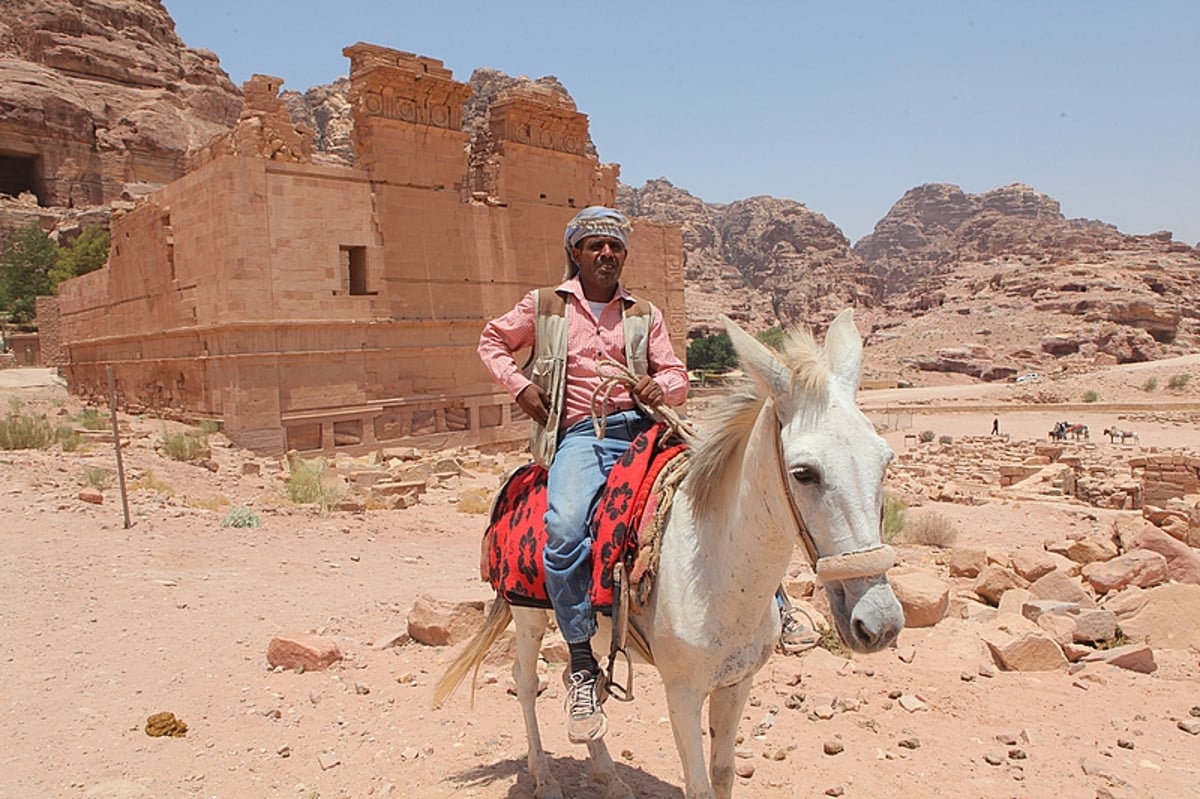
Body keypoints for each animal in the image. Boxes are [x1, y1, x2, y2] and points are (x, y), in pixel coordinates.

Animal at [436, 309, 902, 796]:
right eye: (804, 473)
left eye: (886, 461)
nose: (880, 623)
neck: (718, 571)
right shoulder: (681, 693)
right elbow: (698, 785)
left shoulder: (736, 683)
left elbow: (723, 773)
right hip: (527, 613)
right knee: (526, 682)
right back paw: (544, 777)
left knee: (571, 676)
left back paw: (609, 776)